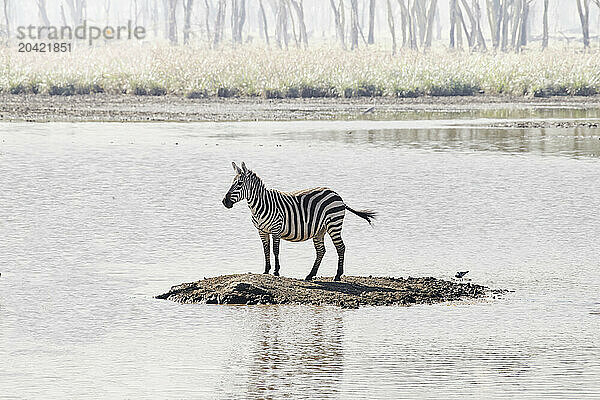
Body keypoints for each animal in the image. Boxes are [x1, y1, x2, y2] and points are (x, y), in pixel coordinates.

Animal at [225, 162, 376, 282]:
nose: (224, 202)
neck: (260, 205)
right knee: (321, 251)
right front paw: (266, 270)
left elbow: (275, 250)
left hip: (334, 224)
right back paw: (310, 275)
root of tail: (337, 195)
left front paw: (276, 271)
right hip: (320, 229)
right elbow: (265, 249)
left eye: (239, 184)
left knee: (340, 247)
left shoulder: (276, 229)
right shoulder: (261, 231)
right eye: (232, 183)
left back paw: (338, 275)